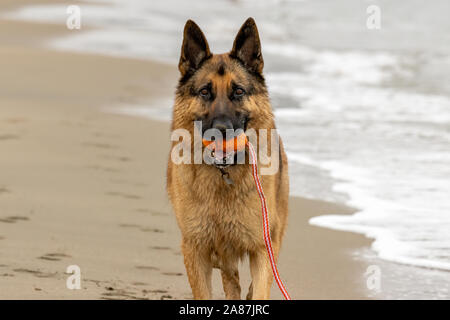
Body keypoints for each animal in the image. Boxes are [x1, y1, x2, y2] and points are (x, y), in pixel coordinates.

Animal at [166, 17, 288, 298]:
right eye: (204, 92)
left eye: (239, 92)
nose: (221, 129)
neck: (223, 175)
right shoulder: (196, 249)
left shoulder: (262, 248)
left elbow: (260, 288)